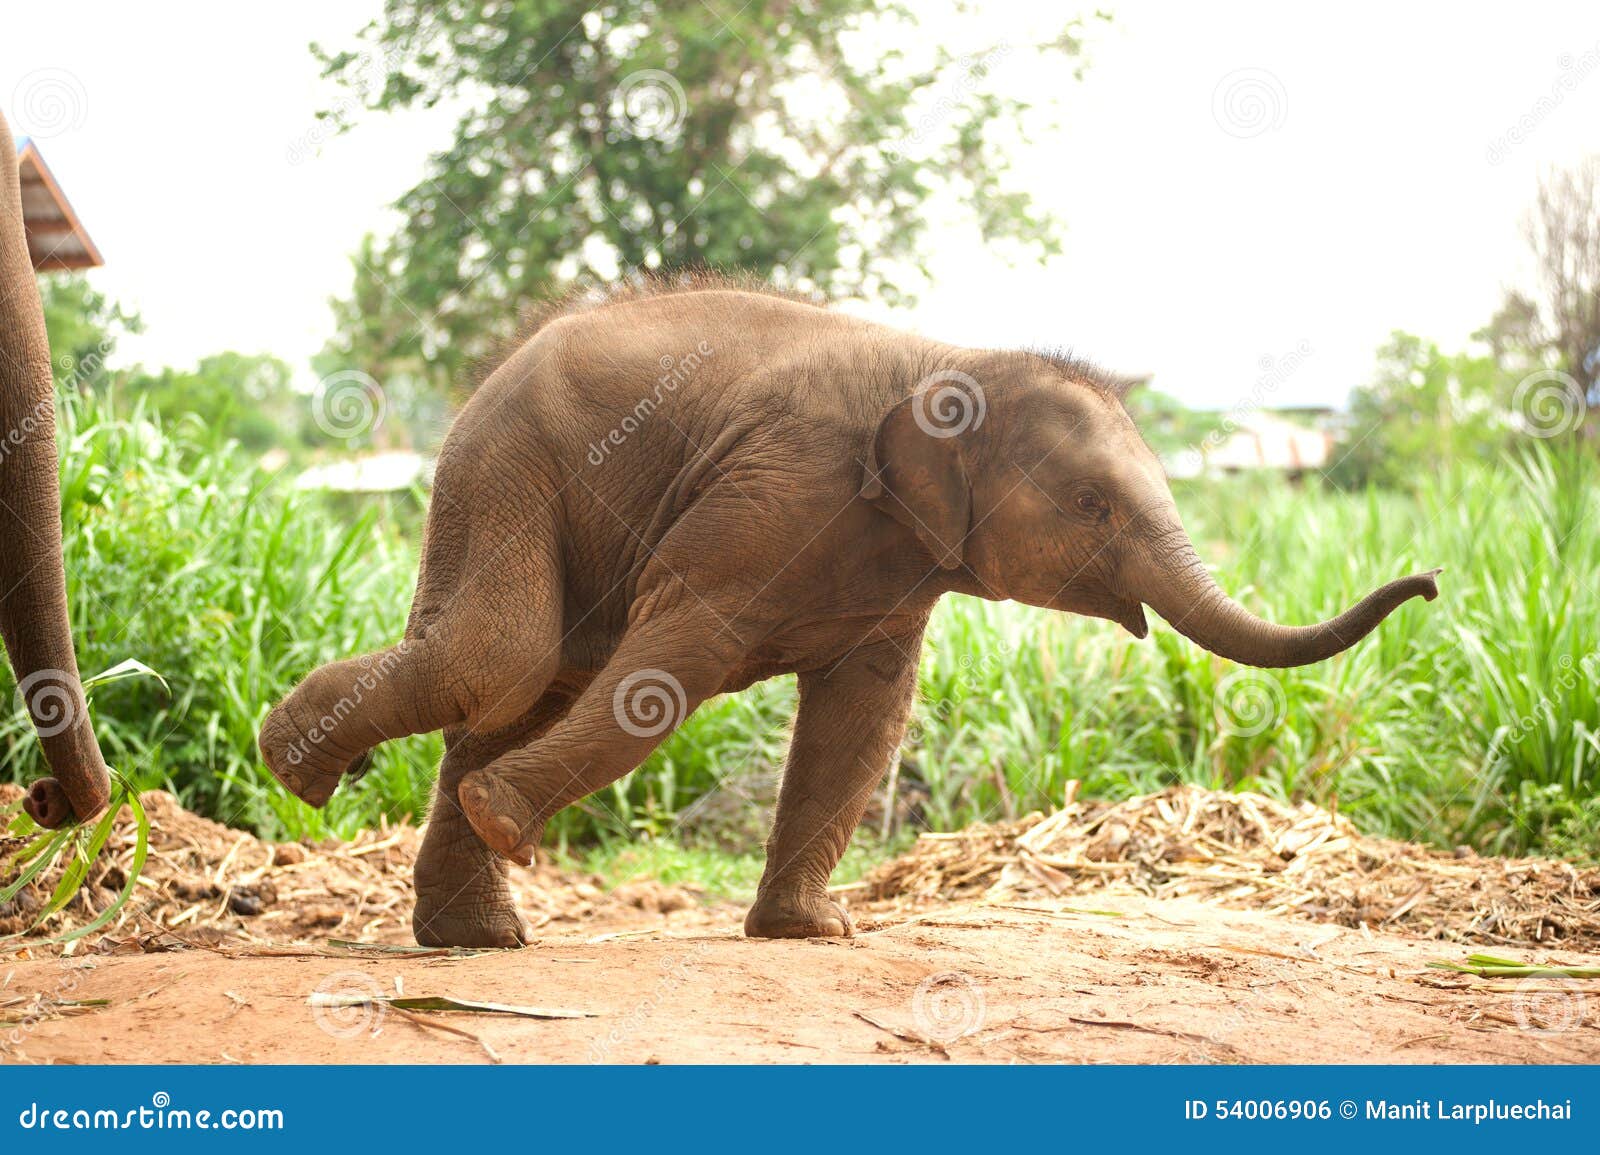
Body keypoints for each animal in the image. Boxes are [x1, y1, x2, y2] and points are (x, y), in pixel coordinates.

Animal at [259, 281, 1440, 947]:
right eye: (1092, 506)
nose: (1428, 583)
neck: (955, 357)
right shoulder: (769, 497)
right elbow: (681, 658)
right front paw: (512, 820)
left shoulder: (898, 566)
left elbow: (865, 715)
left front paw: (812, 934)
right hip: (506, 467)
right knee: (500, 658)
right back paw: (301, 772)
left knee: (523, 682)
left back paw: (475, 937)